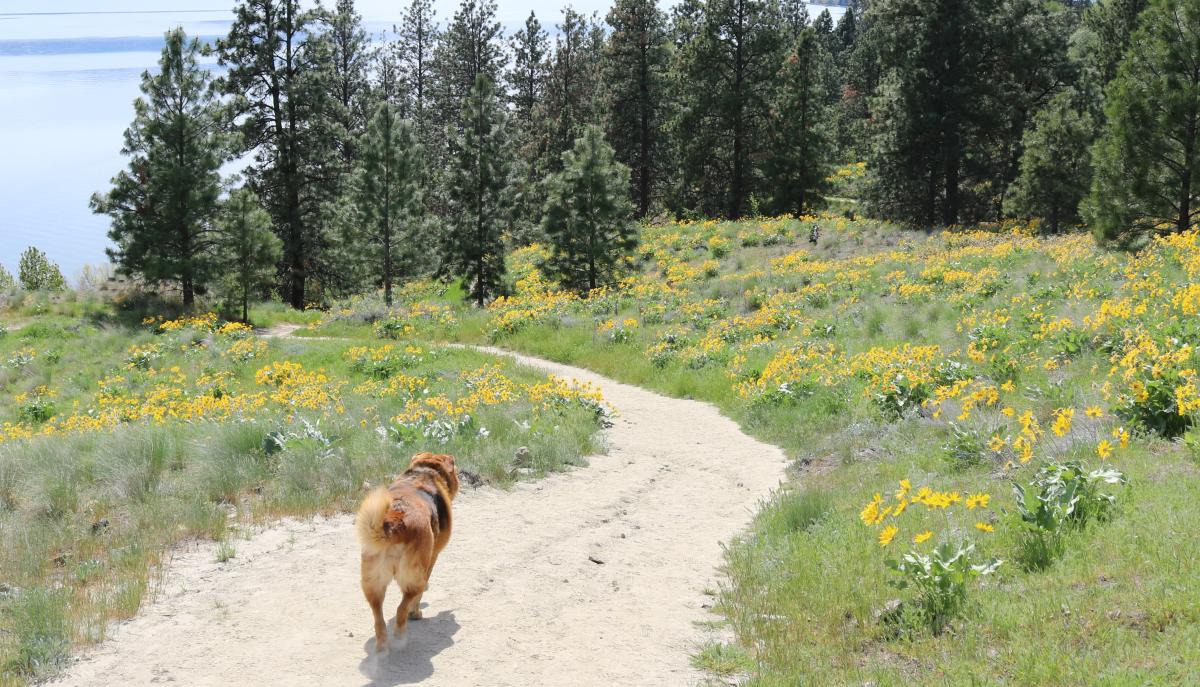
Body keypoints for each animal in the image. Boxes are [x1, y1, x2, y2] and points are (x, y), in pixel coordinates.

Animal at [355, 453, 458, 653]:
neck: (425, 472)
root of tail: (394, 523)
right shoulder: (432, 557)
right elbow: (420, 594)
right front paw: (416, 611)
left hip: (373, 582)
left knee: (378, 618)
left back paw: (382, 647)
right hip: (413, 576)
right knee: (402, 607)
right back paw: (402, 632)